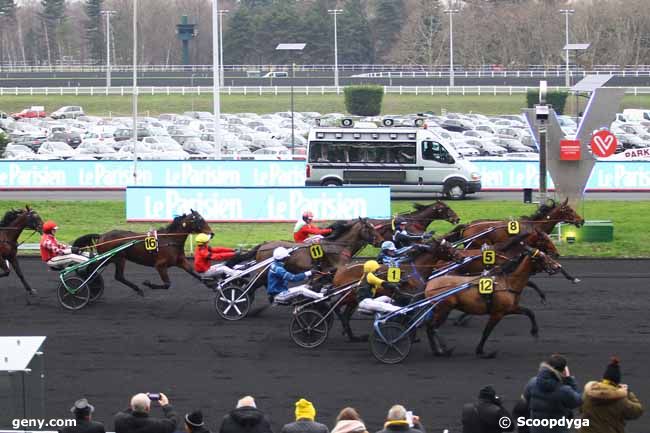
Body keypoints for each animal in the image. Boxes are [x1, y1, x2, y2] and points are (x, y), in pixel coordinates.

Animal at [73, 208, 213, 296]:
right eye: (199, 220)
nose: (212, 233)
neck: (170, 240)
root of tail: (102, 235)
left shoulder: (180, 261)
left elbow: (194, 273)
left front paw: (210, 285)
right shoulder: (160, 265)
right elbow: (167, 284)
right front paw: (148, 283)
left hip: (113, 258)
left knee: (114, 275)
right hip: (114, 258)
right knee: (99, 271)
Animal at [422, 246, 560, 358]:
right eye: (541, 257)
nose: (558, 266)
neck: (507, 282)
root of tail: (429, 284)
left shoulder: (511, 308)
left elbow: (530, 312)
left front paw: (535, 332)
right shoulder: (497, 313)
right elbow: (487, 332)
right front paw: (481, 351)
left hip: (438, 309)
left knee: (428, 326)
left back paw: (436, 351)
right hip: (444, 309)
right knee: (433, 327)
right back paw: (445, 350)